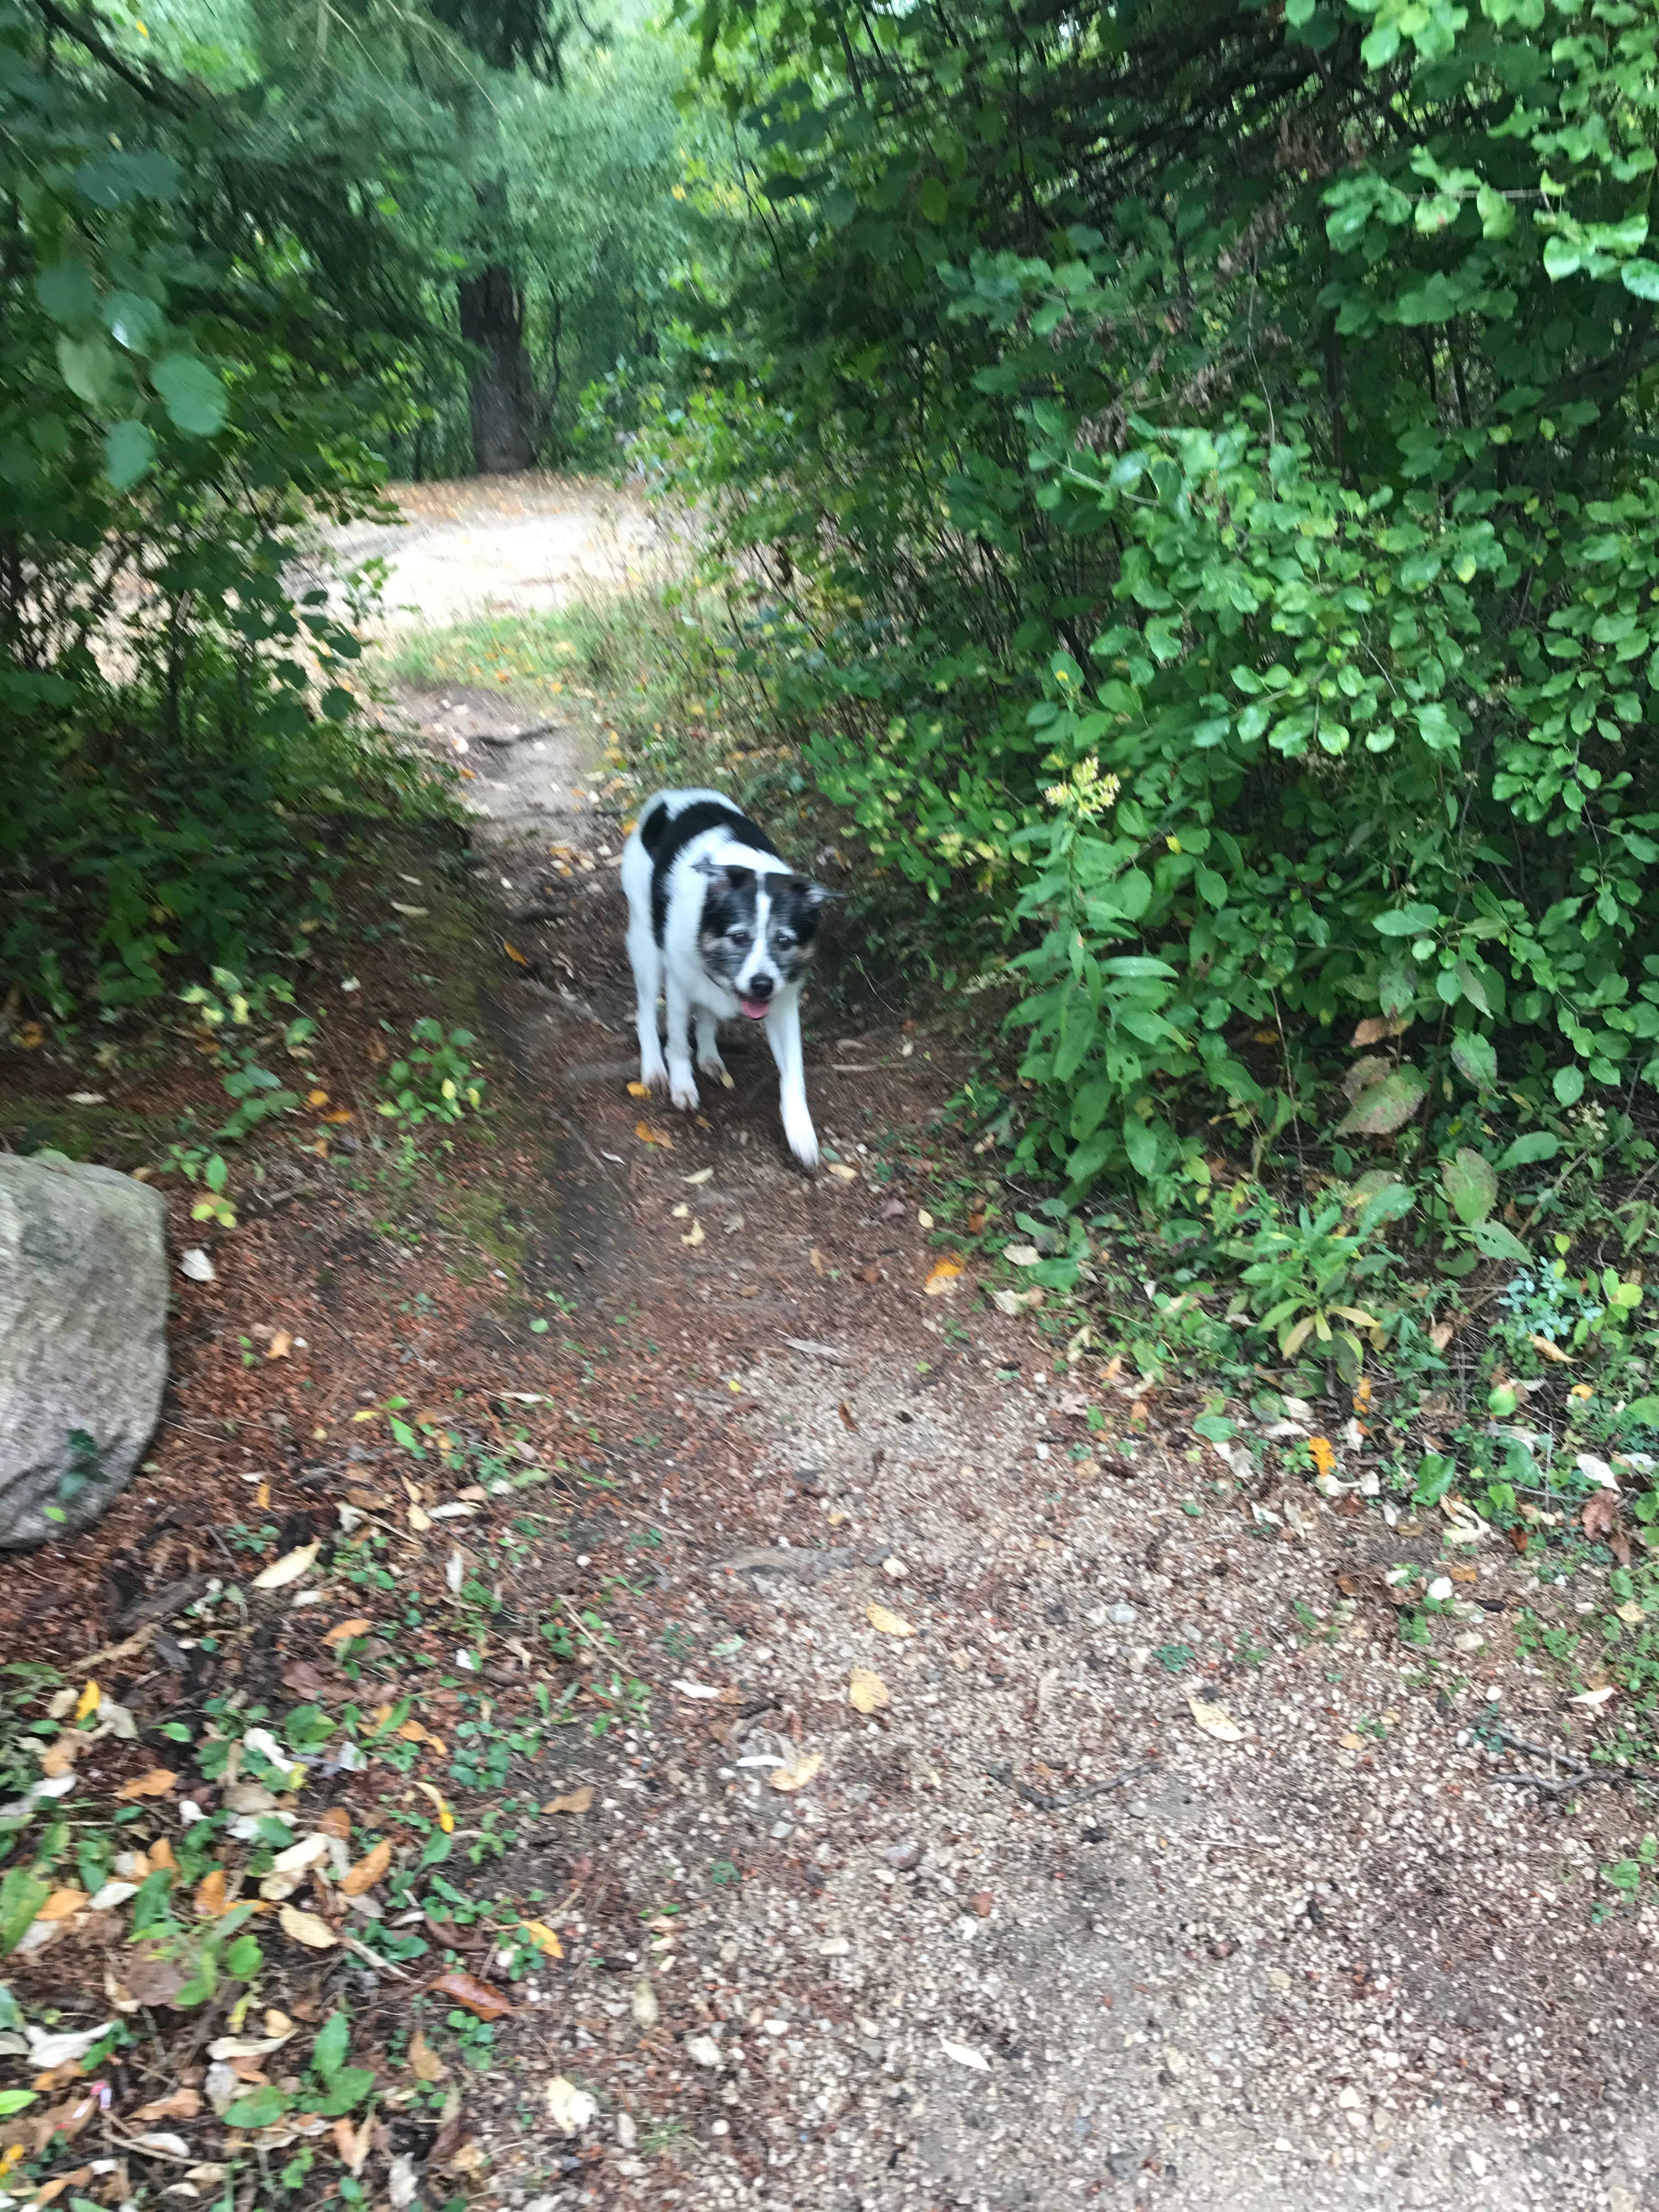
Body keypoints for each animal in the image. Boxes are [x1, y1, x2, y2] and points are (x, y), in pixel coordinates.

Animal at [624, 783, 832, 1167]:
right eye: (739, 937)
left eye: (784, 941)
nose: (761, 985)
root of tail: (669, 796)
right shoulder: (679, 985)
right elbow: (678, 1043)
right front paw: (682, 1087)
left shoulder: (783, 1008)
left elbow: (793, 1073)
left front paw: (800, 1133)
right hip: (647, 948)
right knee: (645, 1013)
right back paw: (654, 1069)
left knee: (707, 1017)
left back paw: (709, 1056)